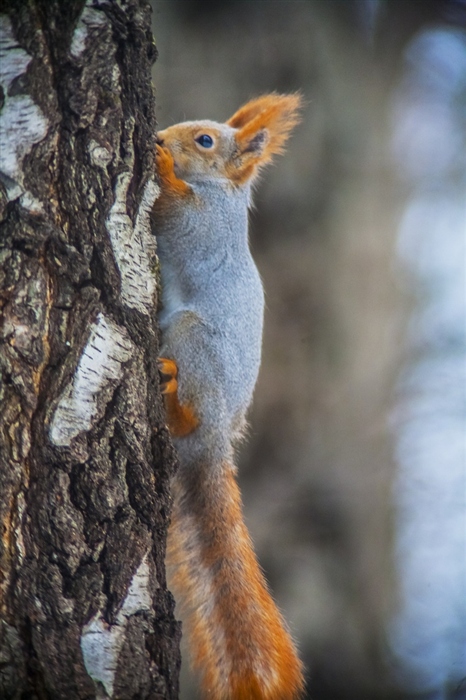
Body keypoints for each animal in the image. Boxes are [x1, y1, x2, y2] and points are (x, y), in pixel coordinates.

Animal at [154, 94, 306, 700]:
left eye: (205, 141)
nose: (158, 137)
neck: (220, 192)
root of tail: (217, 438)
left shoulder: (205, 226)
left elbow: (173, 216)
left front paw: (161, 170)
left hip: (191, 339)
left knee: (191, 409)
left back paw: (176, 405)